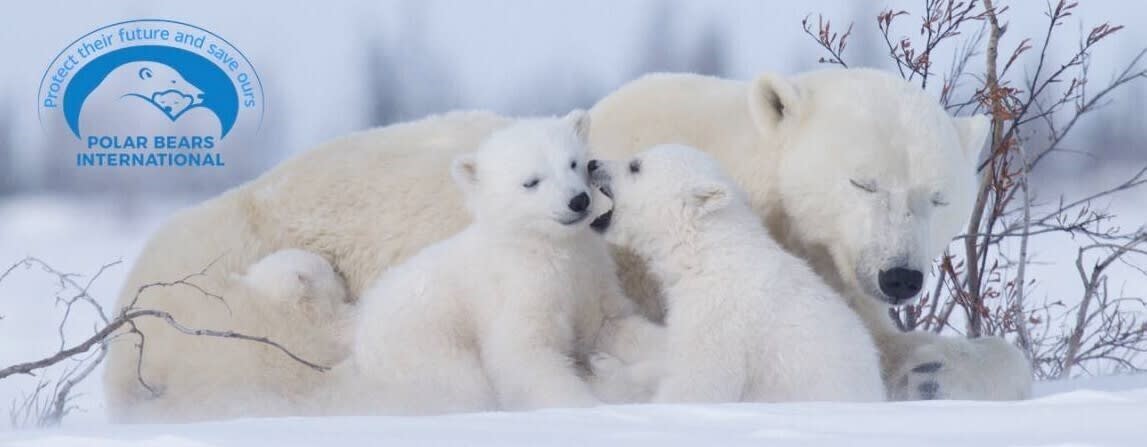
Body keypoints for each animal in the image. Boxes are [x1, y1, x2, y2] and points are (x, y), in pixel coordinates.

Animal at [340, 111, 659, 415]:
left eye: (573, 163)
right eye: (531, 181)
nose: (578, 200)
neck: (546, 246)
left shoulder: (590, 276)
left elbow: (611, 324)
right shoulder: (518, 289)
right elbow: (523, 355)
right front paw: (586, 406)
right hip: (424, 348)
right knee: (462, 385)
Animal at [585, 144, 884, 402]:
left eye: (635, 166)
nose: (592, 164)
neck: (707, 253)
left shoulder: (719, 316)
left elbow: (700, 384)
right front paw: (605, 360)